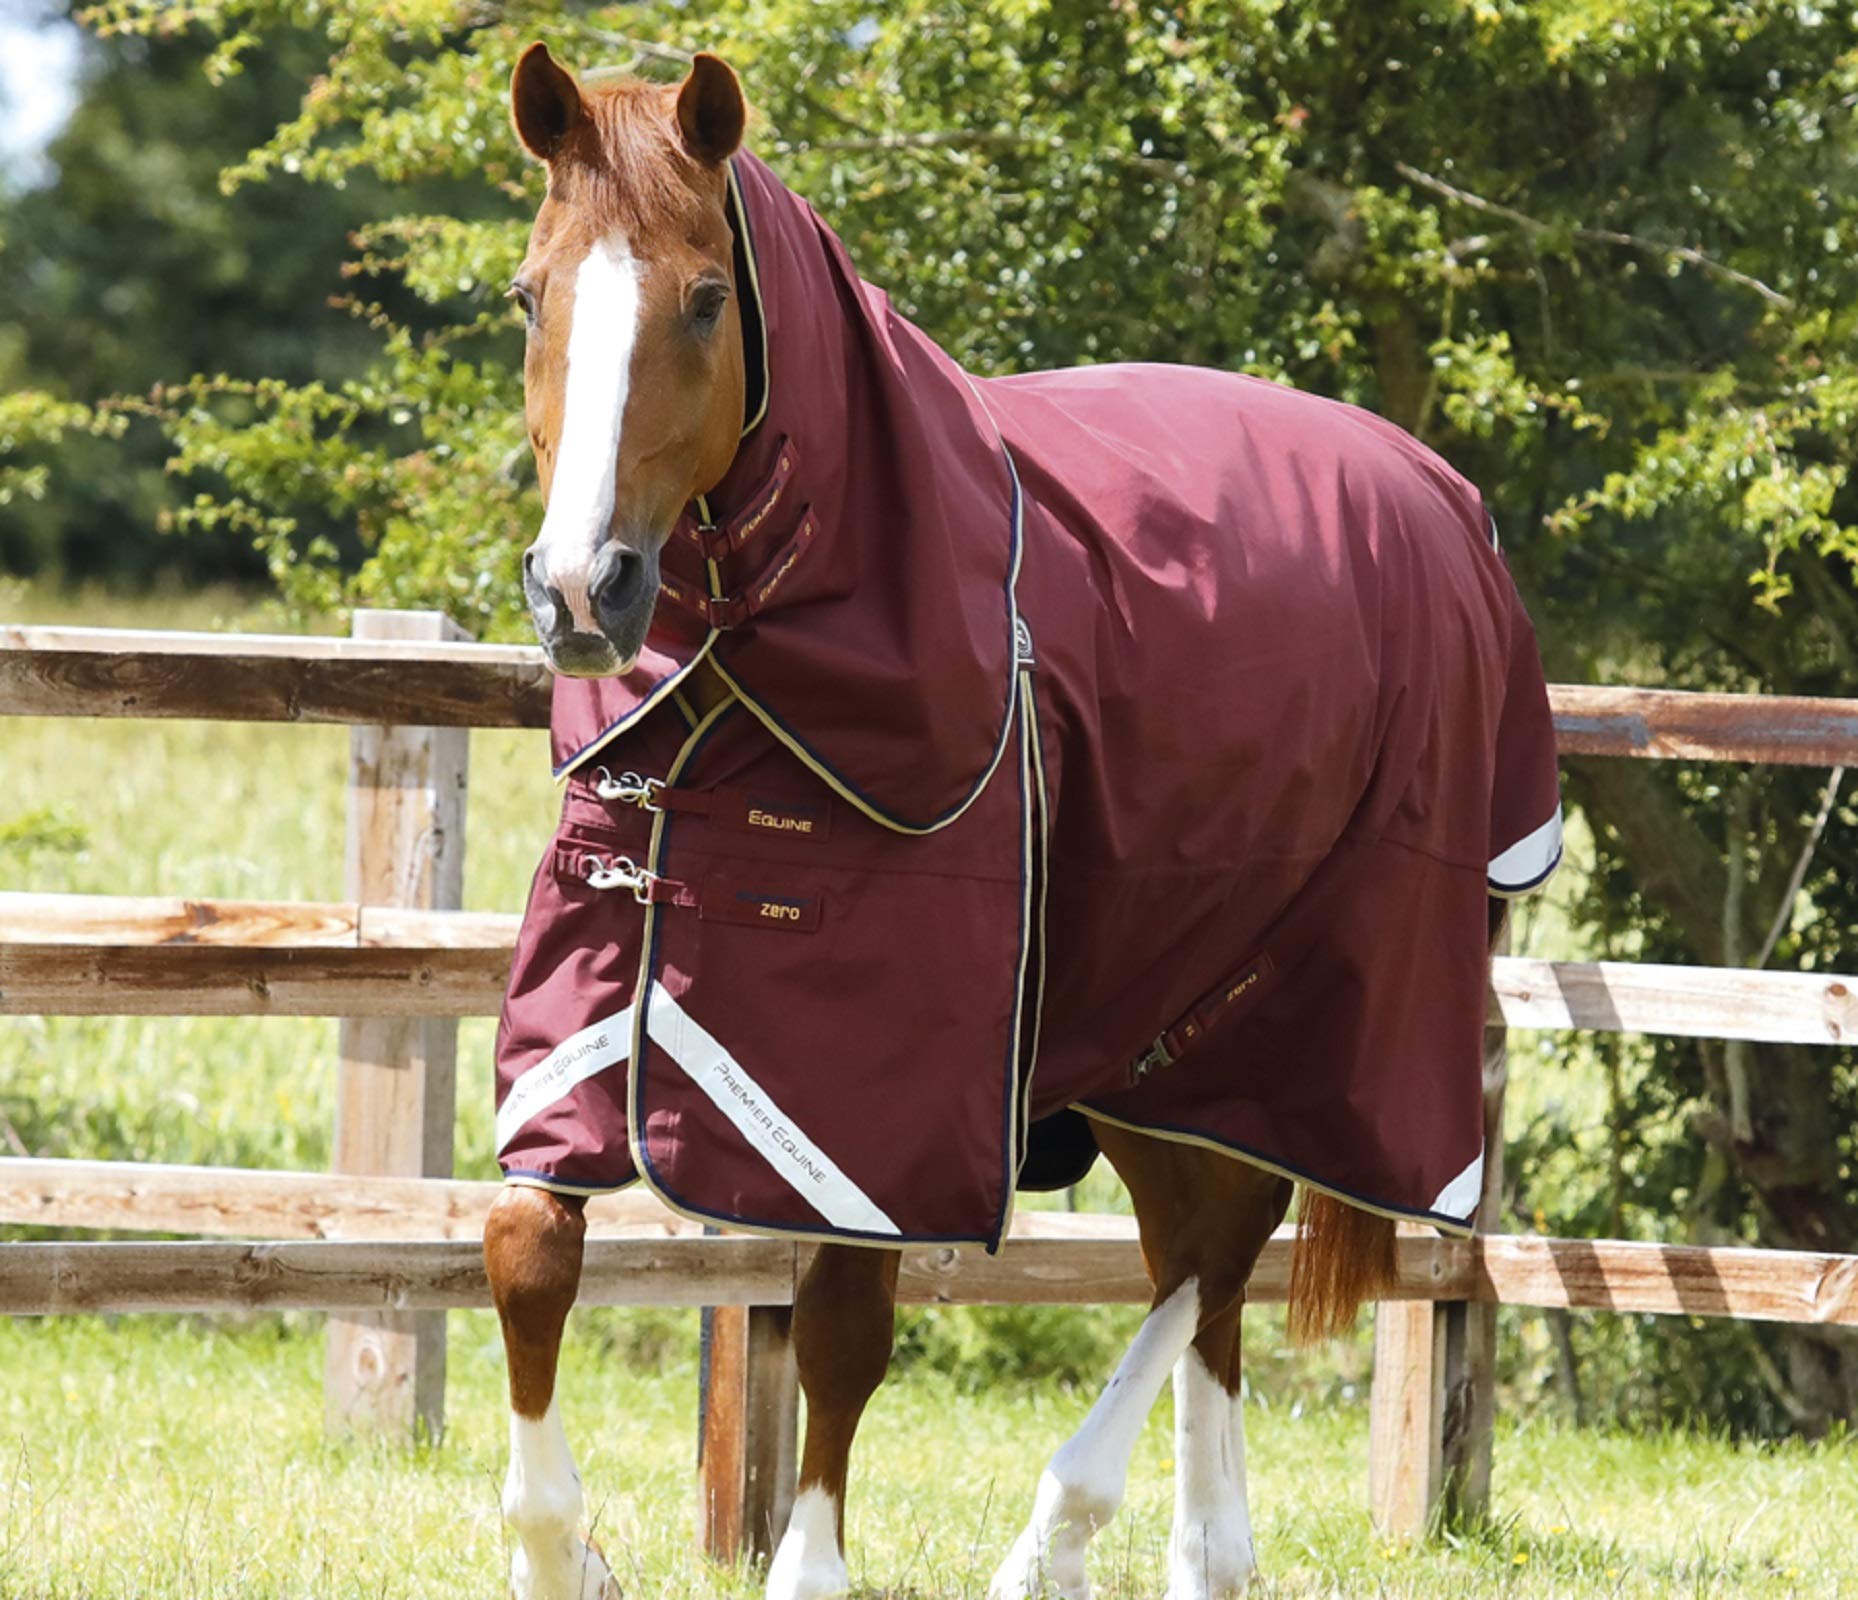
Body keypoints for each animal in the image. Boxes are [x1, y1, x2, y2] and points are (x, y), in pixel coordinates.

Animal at [482, 43, 1562, 1600]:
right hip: (1147, 1023)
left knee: (1218, 1242)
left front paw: (805, 1569)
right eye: (529, 294)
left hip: (1313, 1000)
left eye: (703, 297)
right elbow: (524, 1241)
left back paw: (1062, 1531)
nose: (583, 589)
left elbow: (843, 1329)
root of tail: (1441, 500)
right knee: (1198, 1254)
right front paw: (562, 1554)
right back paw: (1202, 1551)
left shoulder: (876, 1090)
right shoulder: (595, 979)